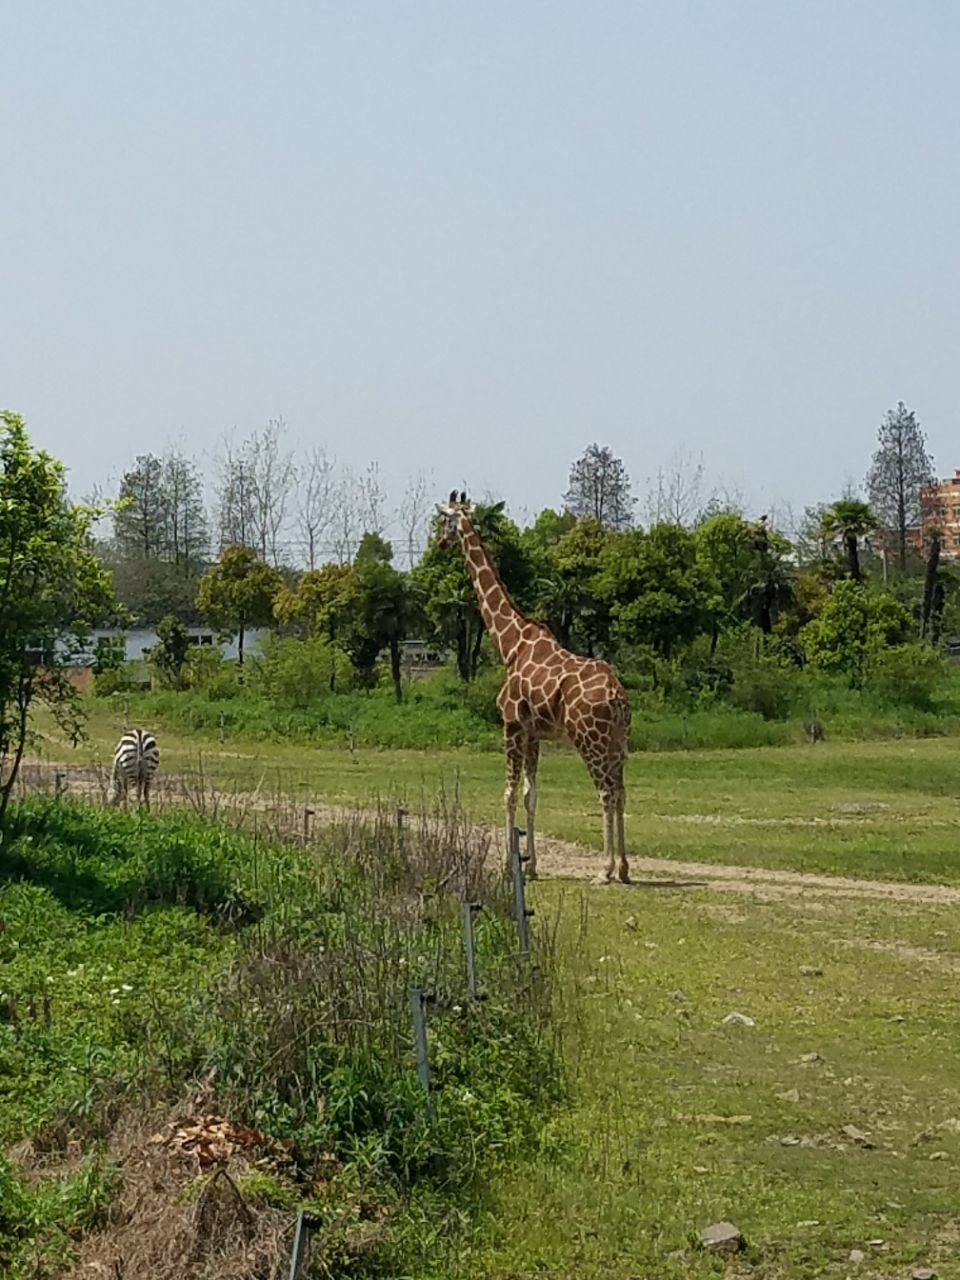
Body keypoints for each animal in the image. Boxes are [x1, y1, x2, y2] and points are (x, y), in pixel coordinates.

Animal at [435, 488, 632, 880]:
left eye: (444, 519)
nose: (439, 543)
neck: (509, 642)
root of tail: (617, 697)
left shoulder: (510, 725)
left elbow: (509, 793)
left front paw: (510, 867)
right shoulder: (533, 734)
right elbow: (530, 795)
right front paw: (531, 867)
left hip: (590, 738)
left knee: (605, 792)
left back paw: (604, 870)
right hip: (618, 740)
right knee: (620, 790)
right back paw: (623, 868)